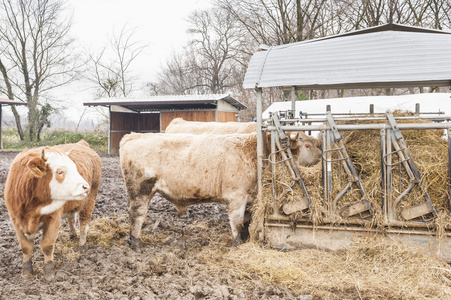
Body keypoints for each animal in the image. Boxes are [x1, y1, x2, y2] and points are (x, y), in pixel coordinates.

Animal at [4, 139, 101, 280]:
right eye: (60, 172)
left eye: (75, 168)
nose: (85, 186)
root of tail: (82, 143)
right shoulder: (15, 219)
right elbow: (26, 247)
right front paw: (26, 271)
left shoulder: (53, 217)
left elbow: (47, 245)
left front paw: (49, 271)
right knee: (71, 218)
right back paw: (73, 234)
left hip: (90, 199)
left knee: (84, 224)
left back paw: (81, 245)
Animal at [118, 132, 322, 250]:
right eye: (307, 145)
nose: (322, 157)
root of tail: (133, 135)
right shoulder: (236, 198)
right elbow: (237, 223)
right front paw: (237, 244)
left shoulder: (248, 199)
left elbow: (246, 221)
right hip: (141, 190)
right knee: (137, 215)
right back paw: (137, 244)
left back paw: (130, 240)